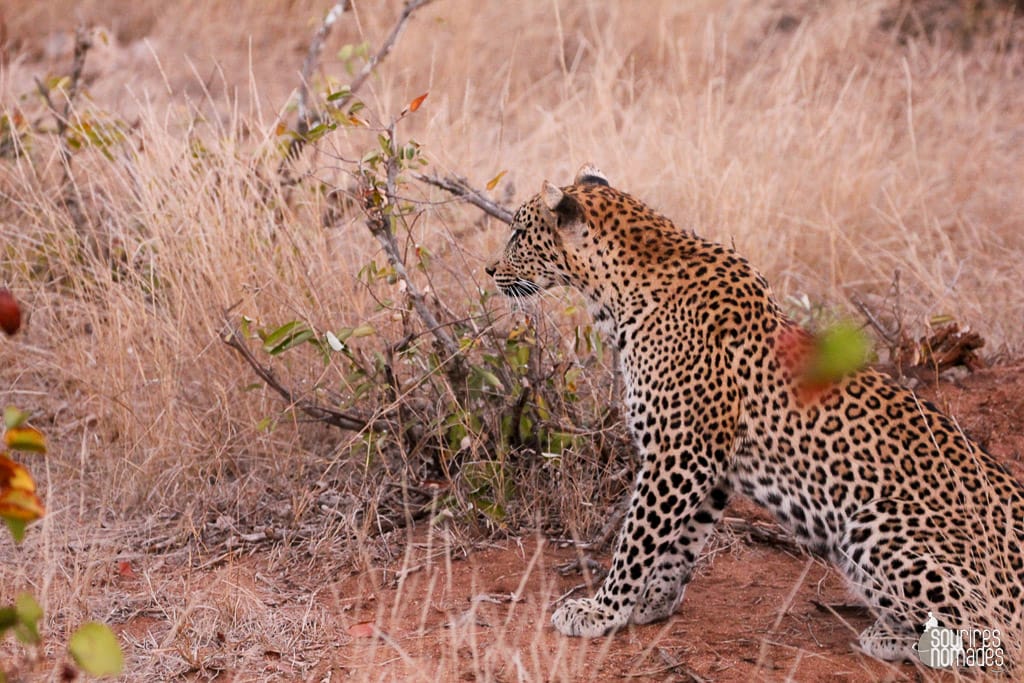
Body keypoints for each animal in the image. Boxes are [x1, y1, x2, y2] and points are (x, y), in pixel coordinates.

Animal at [485, 162, 1024, 663]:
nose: (490, 271)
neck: (617, 292)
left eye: (517, 234)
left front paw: (602, 610)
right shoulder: (709, 462)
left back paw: (892, 638)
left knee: (991, 639)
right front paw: (654, 602)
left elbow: (637, 537)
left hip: (877, 525)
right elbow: (683, 539)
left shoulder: (681, 452)